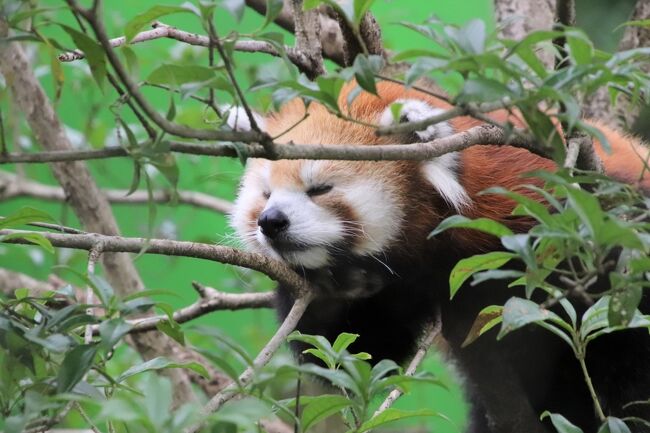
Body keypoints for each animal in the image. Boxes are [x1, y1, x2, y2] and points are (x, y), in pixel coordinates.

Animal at [228, 82, 648, 432]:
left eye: (319, 189)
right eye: (266, 194)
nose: (271, 221)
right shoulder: (399, 290)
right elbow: (361, 350)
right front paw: (336, 287)